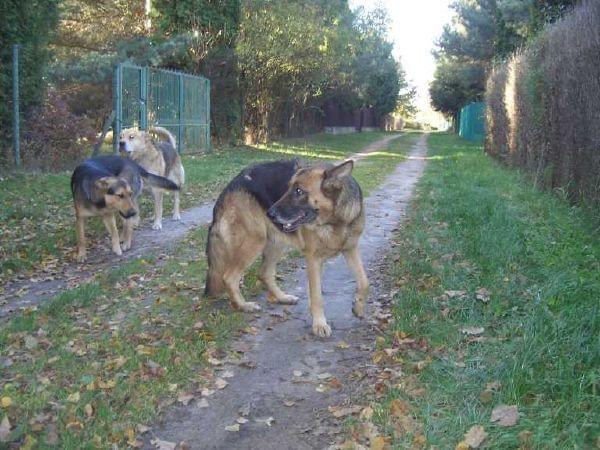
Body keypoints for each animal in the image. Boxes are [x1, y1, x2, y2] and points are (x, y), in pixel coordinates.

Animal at [204, 158, 368, 338]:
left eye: (298, 191)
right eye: (288, 187)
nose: (270, 214)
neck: (334, 221)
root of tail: (230, 186)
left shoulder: (351, 249)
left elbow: (364, 281)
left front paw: (358, 307)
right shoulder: (313, 259)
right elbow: (316, 296)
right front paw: (319, 324)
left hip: (276, 242)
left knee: (264, 273)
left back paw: (282, 297)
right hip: (255, 241)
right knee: (229, 277)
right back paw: (244, 305)